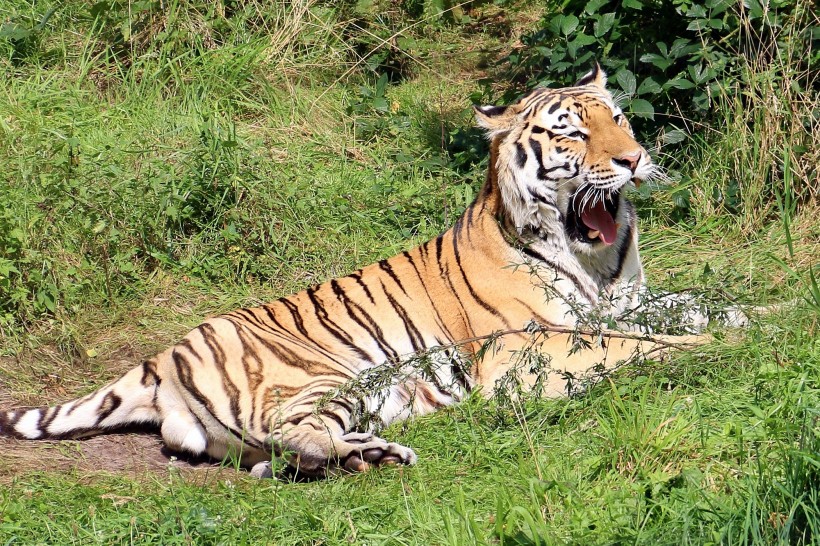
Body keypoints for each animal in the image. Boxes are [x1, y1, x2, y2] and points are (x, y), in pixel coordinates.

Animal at [3, 67, 728, 476]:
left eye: (619, 118)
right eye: (573, 133)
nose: (634, 159)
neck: (592, 257)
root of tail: (162, 356)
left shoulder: (626, 300)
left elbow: (691, 304)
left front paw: (742, 318)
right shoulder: (522, 350)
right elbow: (633, 346)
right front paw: (710, 347)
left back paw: (375, 452)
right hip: (322, 376)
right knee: (294, 435)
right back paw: (383, 453)